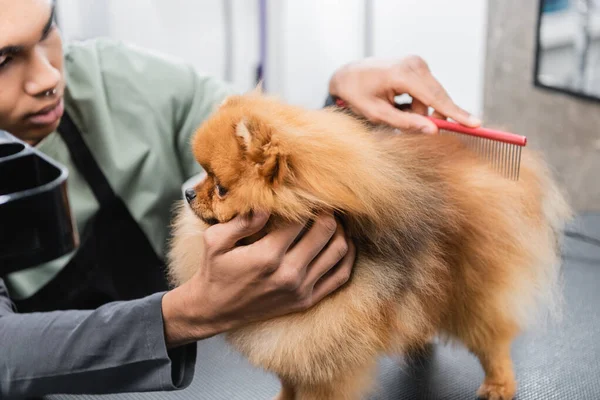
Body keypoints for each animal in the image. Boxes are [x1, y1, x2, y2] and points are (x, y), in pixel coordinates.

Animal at [166, 91, 568, 400]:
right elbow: (288, 381)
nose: (188, 193)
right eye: (202, 174)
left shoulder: (322, 353)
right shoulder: (292, 344)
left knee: (492, 341)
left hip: (472, 292)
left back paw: (499, 384)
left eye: (221, 188)